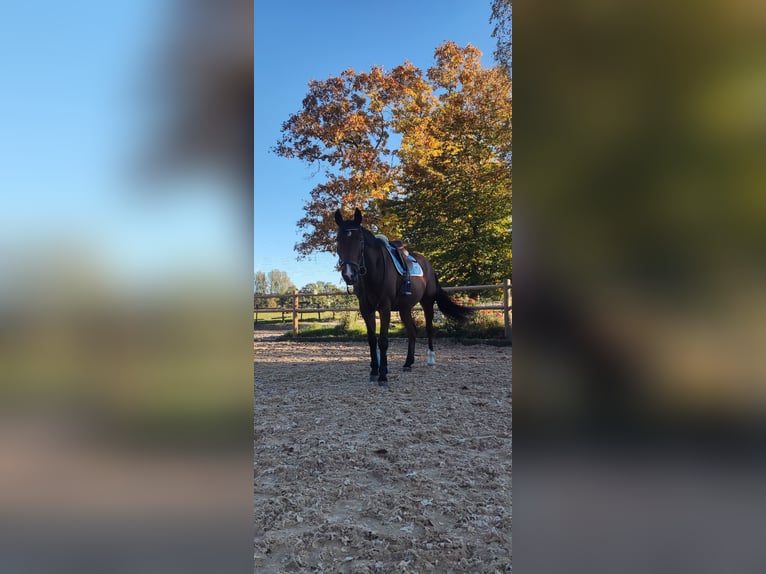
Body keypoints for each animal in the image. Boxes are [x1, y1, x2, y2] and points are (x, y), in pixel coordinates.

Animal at [334, 208, 474, 385]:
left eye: (360, 240)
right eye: (338, 240)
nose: (349, 274)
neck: (374, 270)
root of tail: (428, 264)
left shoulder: (384, 307)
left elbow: (383, 340)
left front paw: (383, 375)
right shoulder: (365, 308)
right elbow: (372, 340)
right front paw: (374, 371)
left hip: (427, 302)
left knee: (428, 328)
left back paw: (430, 359)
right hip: (404, 308)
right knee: (412, 331)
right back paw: (408, 362)